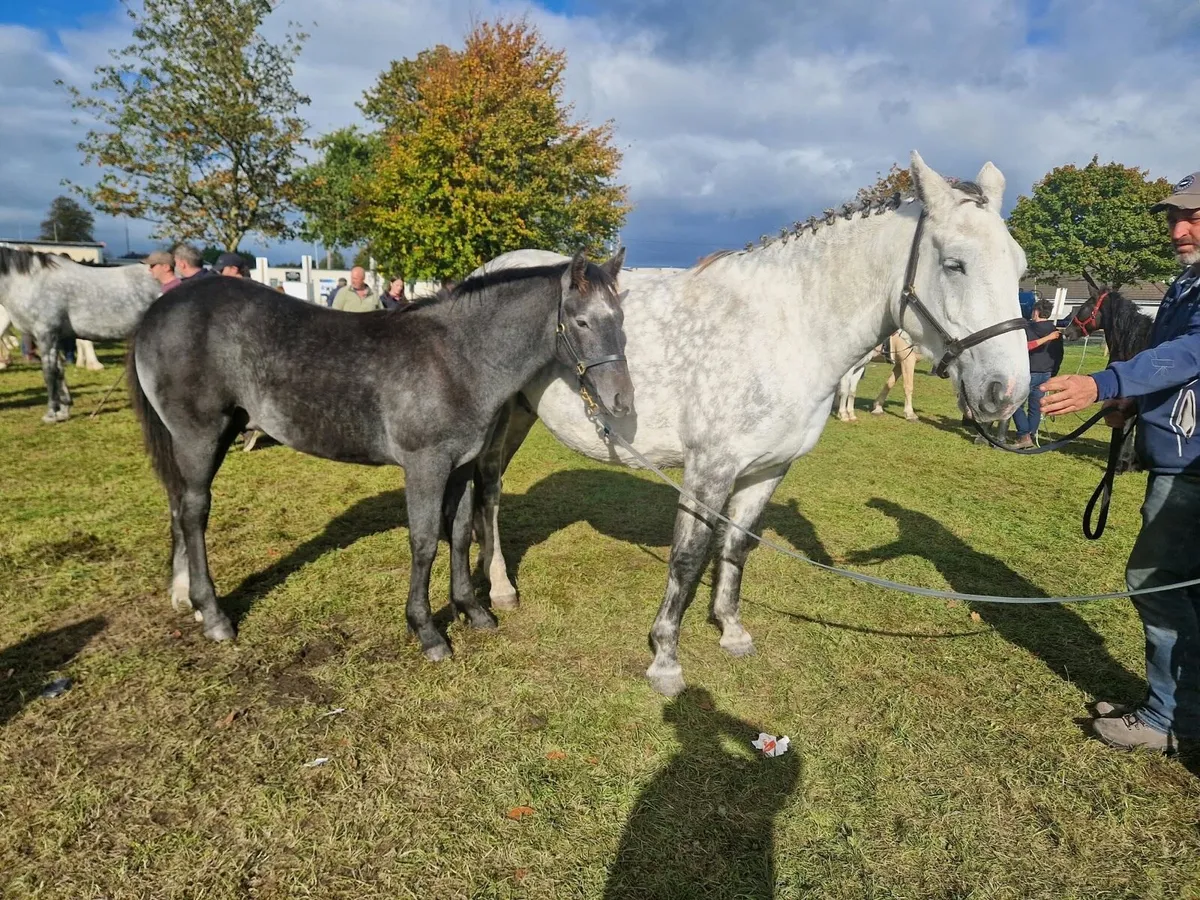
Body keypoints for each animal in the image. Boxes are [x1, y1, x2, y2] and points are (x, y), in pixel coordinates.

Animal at [0, 248, 160, 421]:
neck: (29, 281)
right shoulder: (55, 337)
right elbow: (59, 372)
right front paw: (63, 411)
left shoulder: (46, 334)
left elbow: (49, 373)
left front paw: (51, 413)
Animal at [127, 250, 632, 661]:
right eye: (582, 322)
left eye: (622, 321)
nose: (622, 401)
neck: (457, 360)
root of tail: (158, 310)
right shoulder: (425, 466)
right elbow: (425, 542)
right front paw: (427, 632)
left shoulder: (462, 466)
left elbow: (460, 534)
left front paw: (472, 610)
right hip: (199, 436)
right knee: (194, 512)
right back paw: (214, 617)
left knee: (177, 506)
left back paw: (188, 602)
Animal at [470, 151, 1031, 696]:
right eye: (954, 264)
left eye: (1020, 266)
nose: (1005, 392)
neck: (786, 328)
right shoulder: (709, 469)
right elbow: (688, 557)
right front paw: (666, 659)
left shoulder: (768, 469)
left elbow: (736, 546)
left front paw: (732, 630)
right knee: (489, 492)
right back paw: (500, 589)